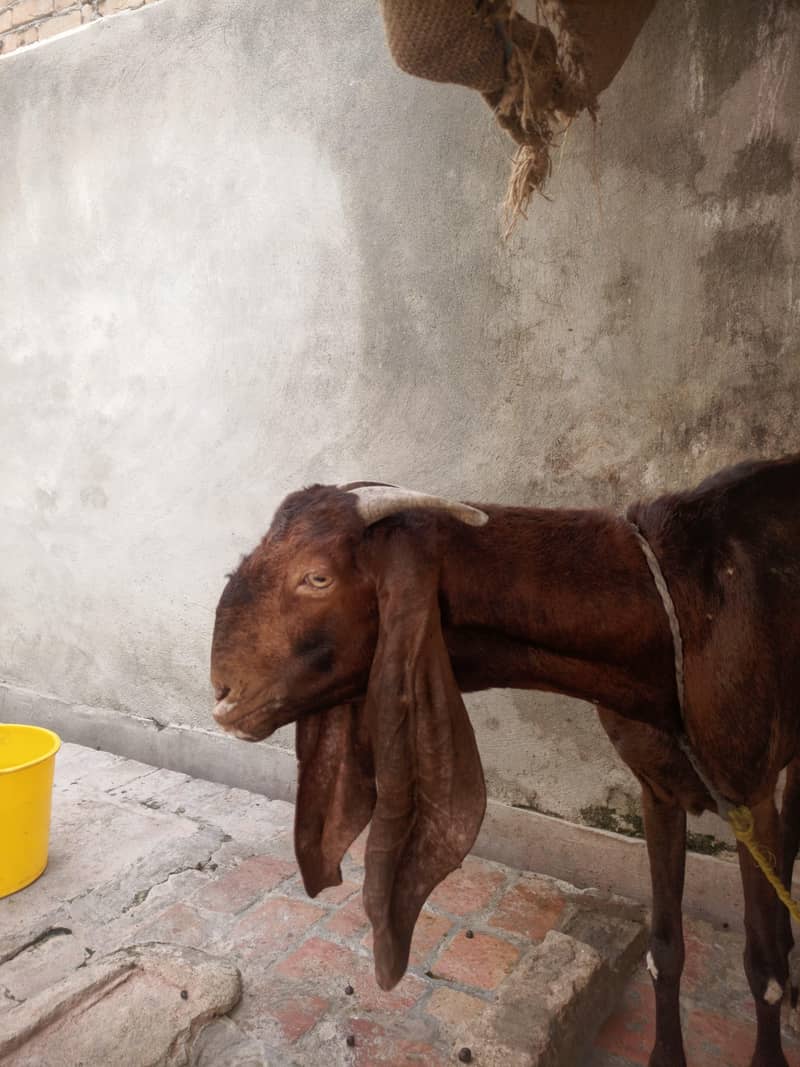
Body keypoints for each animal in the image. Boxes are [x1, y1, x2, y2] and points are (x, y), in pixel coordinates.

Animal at [211, 456, 800, 1067]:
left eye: (317, 577)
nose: (226, 694)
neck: (676, 613)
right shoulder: (656, 788)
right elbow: (664, 949)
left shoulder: (748, 796)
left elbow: (763, 970)